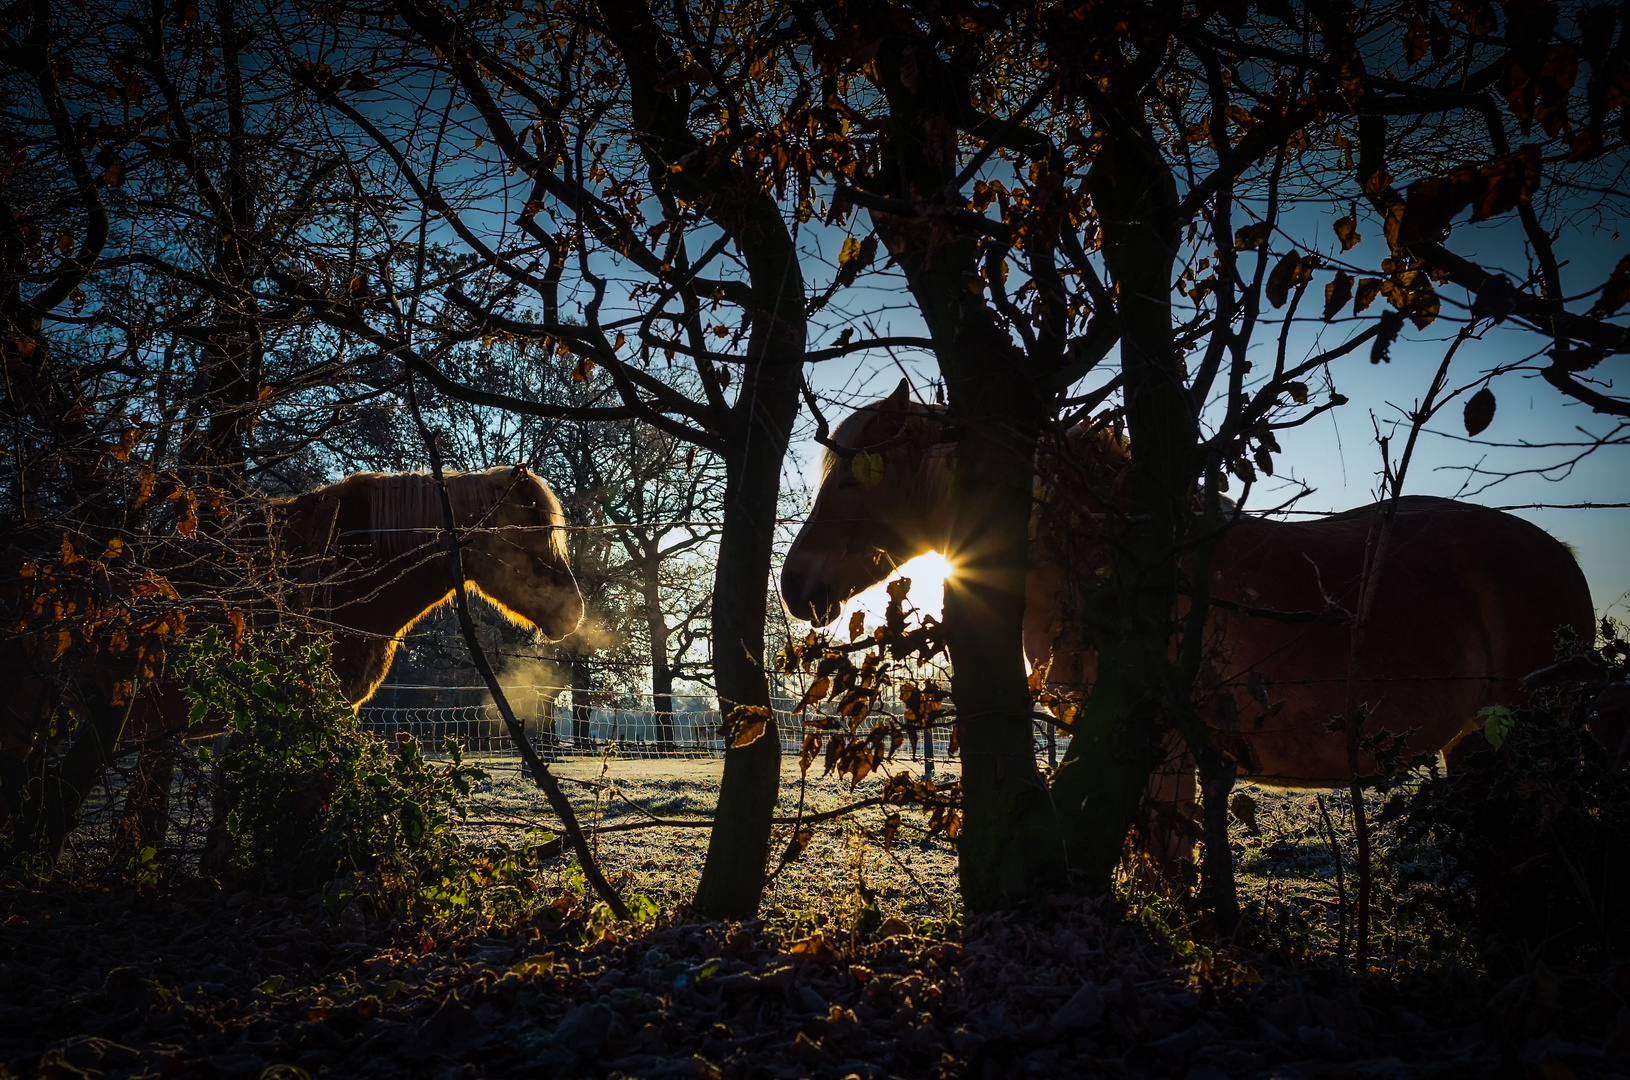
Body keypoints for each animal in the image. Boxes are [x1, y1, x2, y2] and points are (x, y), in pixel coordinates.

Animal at [782, 386, 1597, 873]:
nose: (794, 588)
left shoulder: (1162, 745)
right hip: (1477, 745)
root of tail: (1559, 554)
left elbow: (1167, 861)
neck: (1114, 568)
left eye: (854, 476)